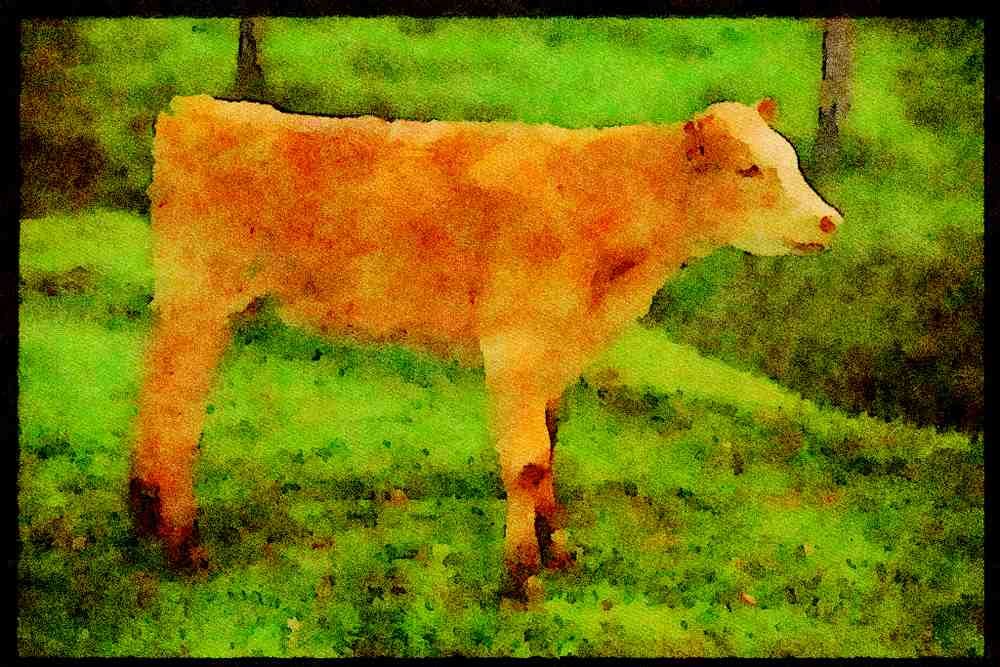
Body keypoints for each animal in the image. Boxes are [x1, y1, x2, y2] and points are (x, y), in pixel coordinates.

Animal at [129, 94, 842, 600]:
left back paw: (142, 513)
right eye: (750, 168)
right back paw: (184, 546)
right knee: (176, 410)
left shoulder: (554, 351)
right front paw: (519, 578)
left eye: (791, 159)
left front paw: (558, 553)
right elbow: (525, 462)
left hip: (187, 306)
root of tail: (196, 109)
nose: (830, 219)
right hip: (201, 298)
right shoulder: (516, 343)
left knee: (154, 392)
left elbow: (549, 452)